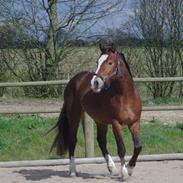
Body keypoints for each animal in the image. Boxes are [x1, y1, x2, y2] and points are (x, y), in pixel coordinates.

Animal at [50, 43, 142, 180]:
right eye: (97, 62)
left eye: (110, 62)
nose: (95, 82)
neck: (126, 96)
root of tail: (75, 79)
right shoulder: (116, 124)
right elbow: (121, 148)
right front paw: (124, 173)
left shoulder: (134, 123)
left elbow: (138, 147)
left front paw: (130, 169)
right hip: (74, 115)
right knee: (73, 140)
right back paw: (73, 171)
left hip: (100, 120)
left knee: (101, 141)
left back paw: (112, 168)